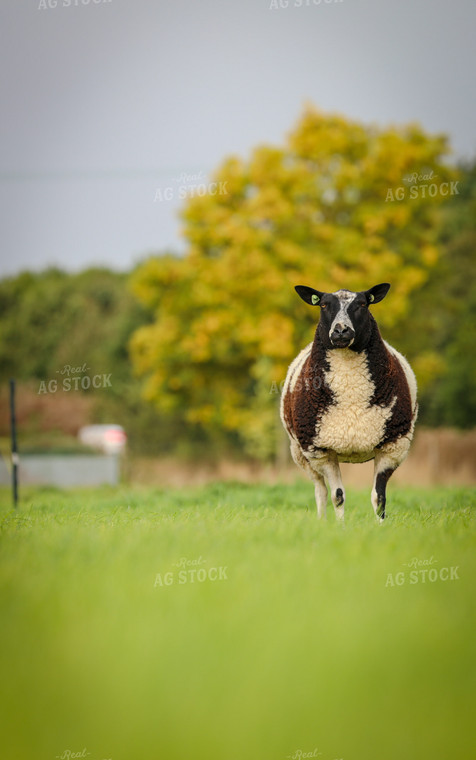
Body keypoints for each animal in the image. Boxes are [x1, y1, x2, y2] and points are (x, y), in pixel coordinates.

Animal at [280, 284, 418, 524]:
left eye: (363, 304)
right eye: (323, 305)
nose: (341, 331)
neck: (351, 393)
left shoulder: (393, 446)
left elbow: (379, 497)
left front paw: (381, 527)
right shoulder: (322, 450)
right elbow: (338, 495)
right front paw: (341, 528)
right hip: (301, 453)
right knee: (320, 490)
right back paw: (321, 522)